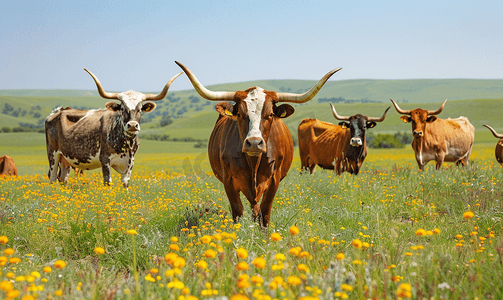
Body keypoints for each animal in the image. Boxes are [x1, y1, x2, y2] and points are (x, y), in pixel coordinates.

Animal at [45, 69, 182, 186]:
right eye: (122, 108)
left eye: (140, 109)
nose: (132, 125)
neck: (127, 143)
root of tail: (59, 111)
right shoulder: (105, 159)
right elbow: (108, 182)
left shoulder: (130, 161)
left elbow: (125, 183)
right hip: (53, 154)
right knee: (52, 177)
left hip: (66, 159)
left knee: (63, 179)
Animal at [175, 61, 340, 226]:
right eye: (240, 114)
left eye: (271, 114)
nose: (254, 143)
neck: (253, 162)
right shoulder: (228, 181)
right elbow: (238, 212)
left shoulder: (274, 180)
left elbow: (265, 213)